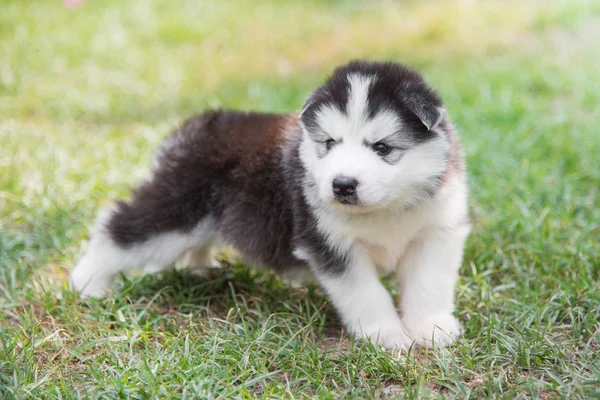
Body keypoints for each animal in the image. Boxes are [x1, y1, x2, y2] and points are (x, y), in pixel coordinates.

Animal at [70, 59, 472, 350]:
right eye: (329, 143)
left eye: (383, 147)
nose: (342, 185)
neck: (384, 210)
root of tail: (195, 126)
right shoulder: (330, 244)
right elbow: (366, 293)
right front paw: (386, 334)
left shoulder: (436, 232)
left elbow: (429, 285)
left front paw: (432, 329)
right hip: (176, 211)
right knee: (120, 226)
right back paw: (87, 283)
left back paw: (199, 270)